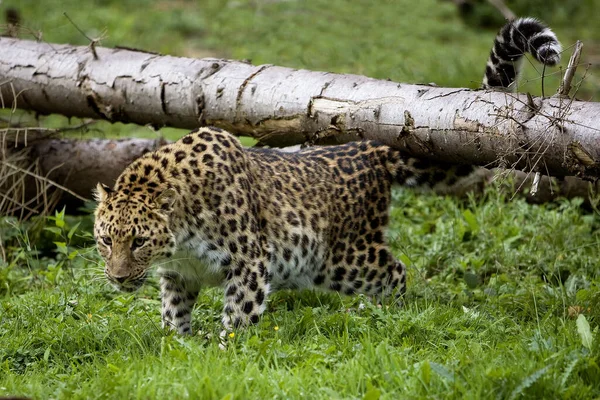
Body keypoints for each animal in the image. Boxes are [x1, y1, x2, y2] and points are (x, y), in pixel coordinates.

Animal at [94, 17, 564, 334]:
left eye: (138, 241)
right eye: (105, 240)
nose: (117, 278)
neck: (179, 237)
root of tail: (367, 146)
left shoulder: (249, 260)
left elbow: (240, 314)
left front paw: (226, 353)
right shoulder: (179, 275)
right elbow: (174, 316)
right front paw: (178, 350)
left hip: (345, 258)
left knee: (396, 271)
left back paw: (389, 317)